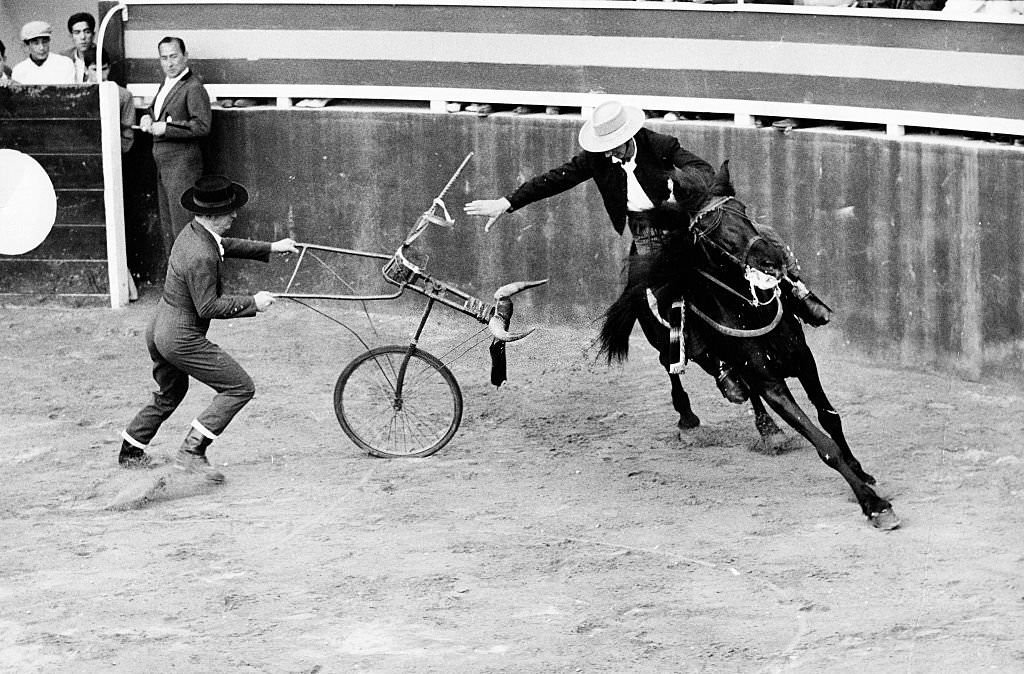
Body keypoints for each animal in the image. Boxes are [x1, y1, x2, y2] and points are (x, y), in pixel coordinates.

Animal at [598, 159, 901, 528]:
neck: (749, 310)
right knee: (672, 369)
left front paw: (861, 471)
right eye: (709, 229)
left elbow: (829, 417)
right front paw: (874, 504)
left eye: (742, 211)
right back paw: (689, 419)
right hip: (670, 345)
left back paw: (768, 429)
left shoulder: (803, 360)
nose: (772, 258)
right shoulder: (771, 382)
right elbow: (822, 442)